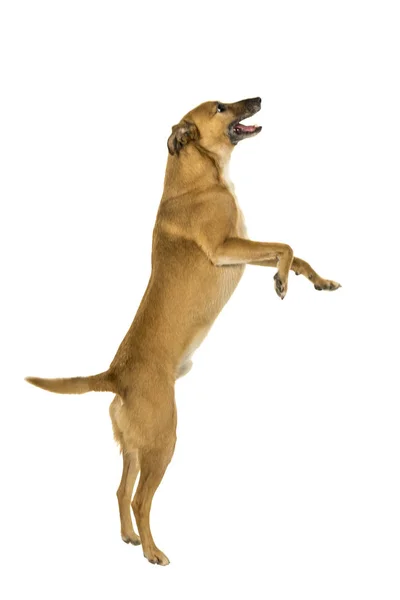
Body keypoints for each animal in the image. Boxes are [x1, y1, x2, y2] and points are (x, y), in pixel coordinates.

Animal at [25, 96, 340, 564]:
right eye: (221, 107)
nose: (257, 98)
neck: (197, 177)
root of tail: (115, 375)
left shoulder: (240, 252)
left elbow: (295, 254)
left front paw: (319, 281)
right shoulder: (226, 248)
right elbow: (286, 246)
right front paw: (282, 282)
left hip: (134, 446)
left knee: (120, 491)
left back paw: (130, 538)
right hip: (163, 441)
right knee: (140, 499)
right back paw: (153, 551)